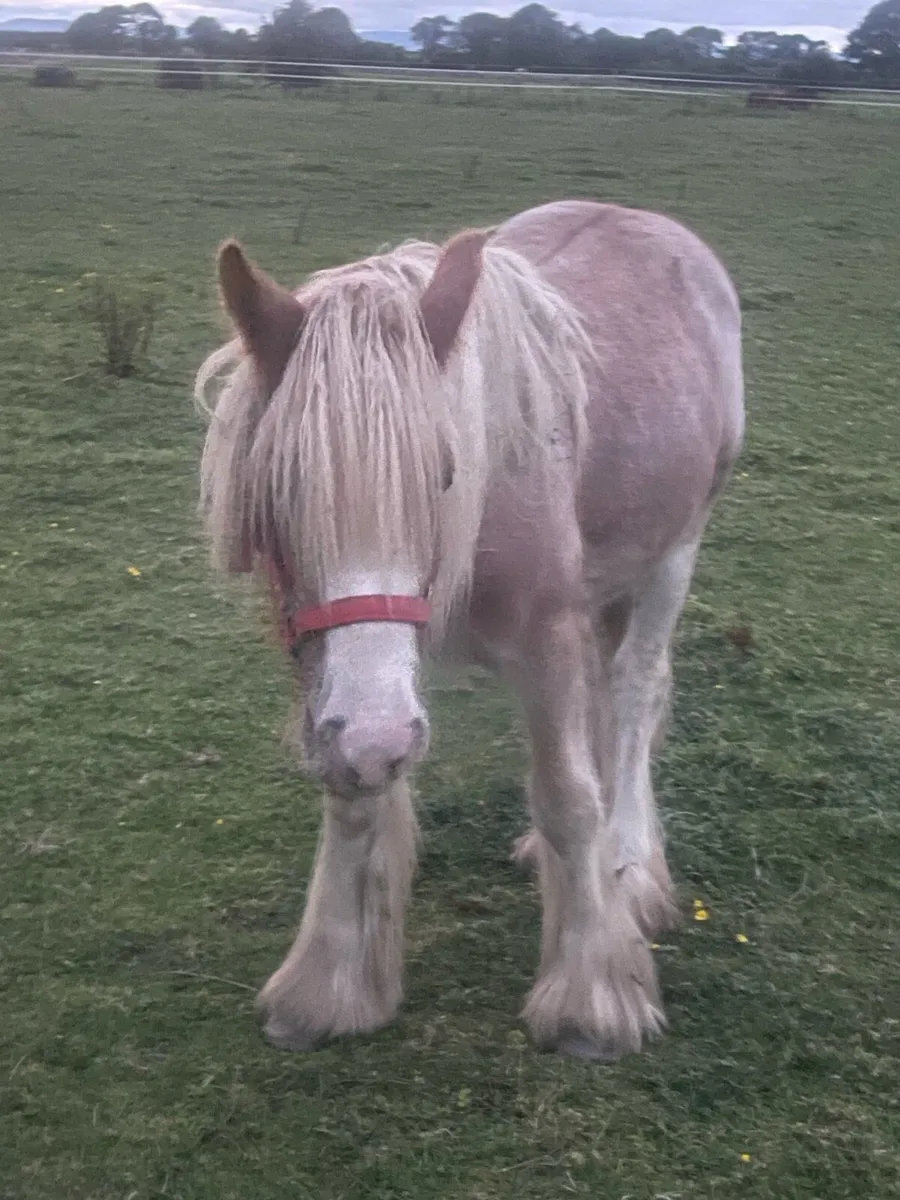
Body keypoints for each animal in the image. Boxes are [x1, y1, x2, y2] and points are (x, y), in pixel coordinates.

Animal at [195, 199, 745, 1062]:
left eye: (445, 477)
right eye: (277, 490)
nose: (380, 734)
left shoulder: (547, 634)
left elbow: (567, 797)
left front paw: (591, 1000)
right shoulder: (333, 669)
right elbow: (352, 791)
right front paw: (330, 985)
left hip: (674, 551)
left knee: (634, 695)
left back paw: (629, 867)